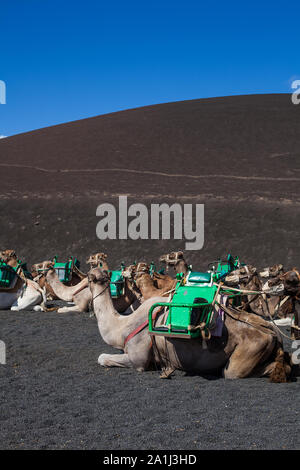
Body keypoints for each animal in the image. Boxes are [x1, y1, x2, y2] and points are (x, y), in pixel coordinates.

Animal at [86, 268, 290, 382]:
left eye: (88, 277)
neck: (121, 326)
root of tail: (273, 331)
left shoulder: (139, 358)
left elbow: (103, 357)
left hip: (249, 351)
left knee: (233, 372)